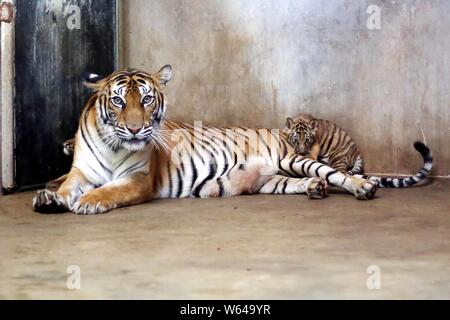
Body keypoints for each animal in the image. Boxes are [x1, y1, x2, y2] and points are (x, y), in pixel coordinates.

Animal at [31, 65, 380, 215]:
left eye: (146, 99)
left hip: (293, 157)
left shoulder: (138, 179)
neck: (113, 146)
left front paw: (89, 201)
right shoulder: (81, 173)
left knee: (337, 174)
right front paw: (50, 197)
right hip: (271, 180)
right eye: (118, 101)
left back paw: (363, 188)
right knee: (299, 182)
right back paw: (314, 189)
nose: (134, 130)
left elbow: (111, 189)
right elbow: (66, 185)